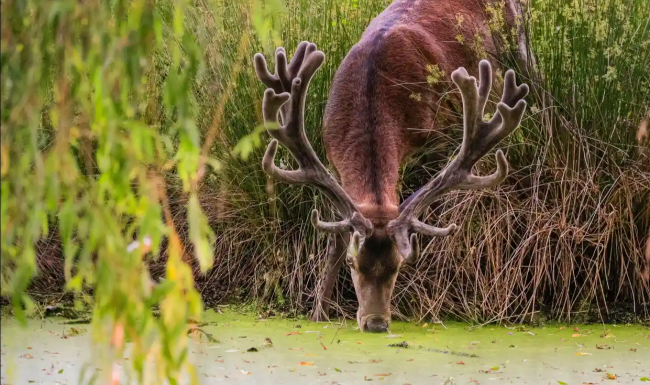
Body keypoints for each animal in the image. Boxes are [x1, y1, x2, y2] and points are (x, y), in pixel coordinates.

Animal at [251, 0, 528, 330]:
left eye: (398, 265)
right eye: (353, 263)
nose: (376, 323)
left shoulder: (438, 139)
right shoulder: (331, 158)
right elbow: (336, 239)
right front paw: (319, 311)